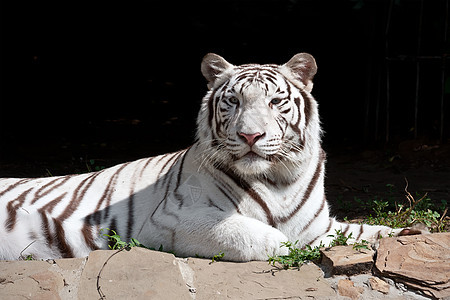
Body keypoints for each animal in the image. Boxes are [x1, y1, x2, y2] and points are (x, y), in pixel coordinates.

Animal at [0, 53, 412, 260]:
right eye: (234, 101)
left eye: (274, 102)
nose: (250, 135)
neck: (279, 178)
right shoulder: (173, 219)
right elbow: (264, 237)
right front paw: (293, 247)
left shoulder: (320, 224)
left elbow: (363, 230)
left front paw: (408, 233)